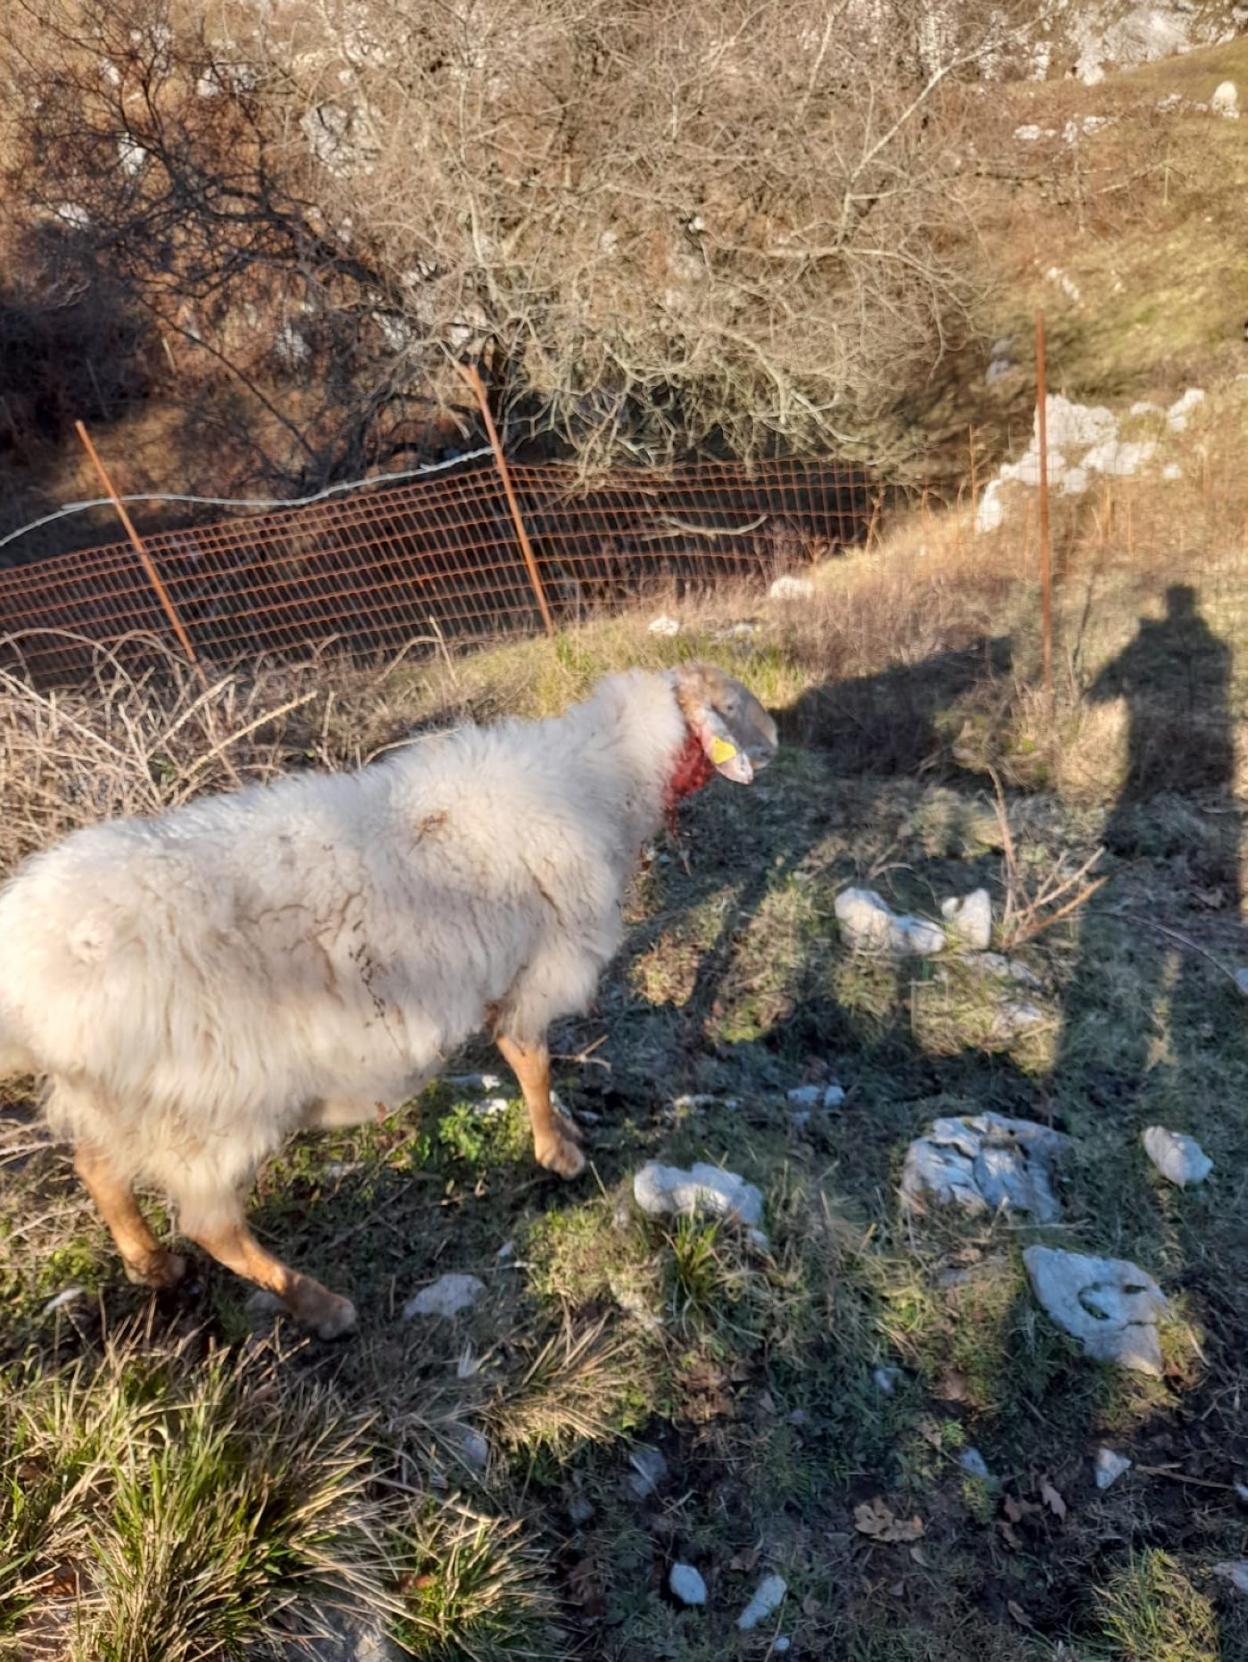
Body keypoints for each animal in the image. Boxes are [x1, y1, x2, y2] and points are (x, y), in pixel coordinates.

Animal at [0, 661, 777, 1336]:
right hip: (211, 1107)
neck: (604, 776)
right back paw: (318, 1305)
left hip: (124, 1101)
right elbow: (529, 1061)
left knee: (99, 1170)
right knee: (210, 1223)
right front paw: (557, 1152)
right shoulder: (539, 967)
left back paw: (152, 1264)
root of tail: (29, 966)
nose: (776, 744)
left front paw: (564, 1132)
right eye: (730, 705)